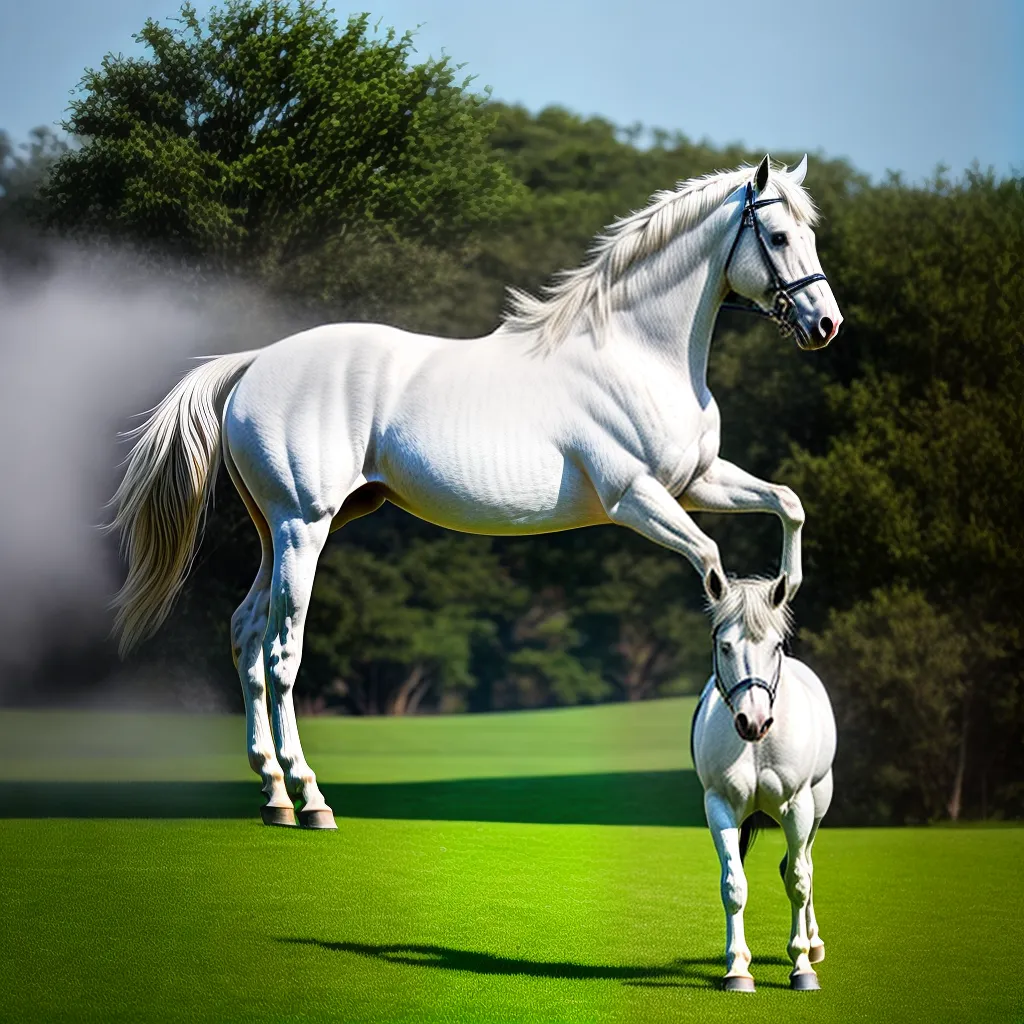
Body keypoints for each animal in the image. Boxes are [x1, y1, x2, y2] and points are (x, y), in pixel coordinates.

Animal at [109, 154, 842, 829]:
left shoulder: (695, 482)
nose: (826, 326)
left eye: (809, 233)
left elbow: (789, 502)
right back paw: (310, 799)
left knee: (245, 633)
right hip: (302, 527)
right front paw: (743, 637)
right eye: (779, 236)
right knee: (281, 651)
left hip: (282, 531)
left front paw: (786, 591)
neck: (636, 355)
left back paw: (273, 795)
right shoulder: (637, 498)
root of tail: (255, 364)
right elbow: (714, 565)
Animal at [690, 575, 837, 992]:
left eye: (775, 647)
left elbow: (798, 881)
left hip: (817, 806)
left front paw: (801, 966)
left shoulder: (797, 806)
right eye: (725, 646)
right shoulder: (719, 805)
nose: (752, 721)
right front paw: (738, 969)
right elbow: (733, 884)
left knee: (804, 864)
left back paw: (814, 944)